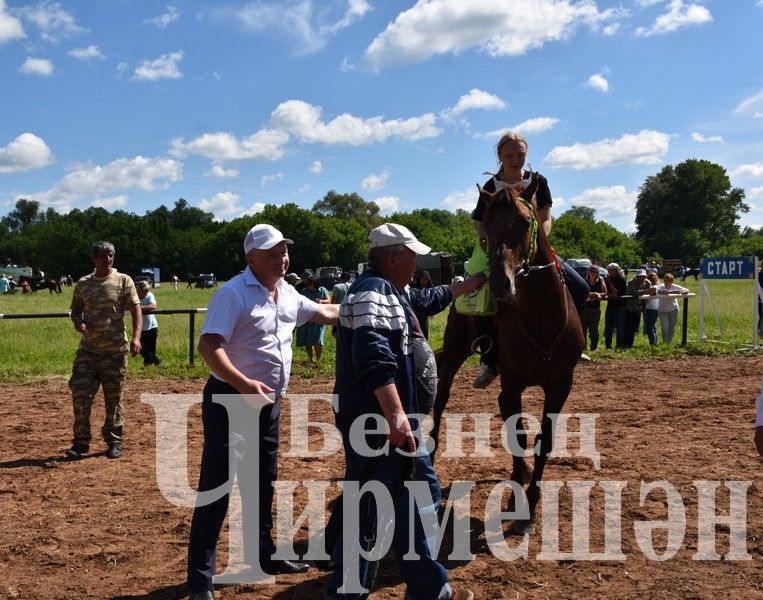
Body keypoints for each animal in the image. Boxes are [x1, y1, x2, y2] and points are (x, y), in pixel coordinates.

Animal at [430, 183, 584, 536]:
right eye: (487, 225)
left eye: (527, 222)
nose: (501, 284)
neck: (542, 317)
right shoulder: (514, 381)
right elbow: (518, 434)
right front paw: (517, 501)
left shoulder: (561, 384)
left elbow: (544, 440)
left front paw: (530, 504)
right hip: (455, 354)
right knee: (441, 399)